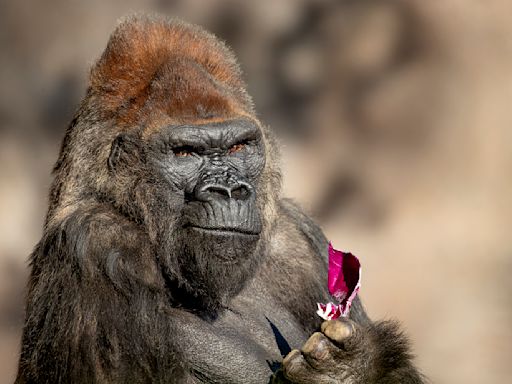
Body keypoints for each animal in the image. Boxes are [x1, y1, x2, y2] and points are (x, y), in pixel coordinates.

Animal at [15, 15, 424, 384]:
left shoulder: (302, 237)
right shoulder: (96, 241)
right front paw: (338, 373)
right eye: (185, 153)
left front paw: (353, 368)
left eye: (238, 147)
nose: (229, 190)